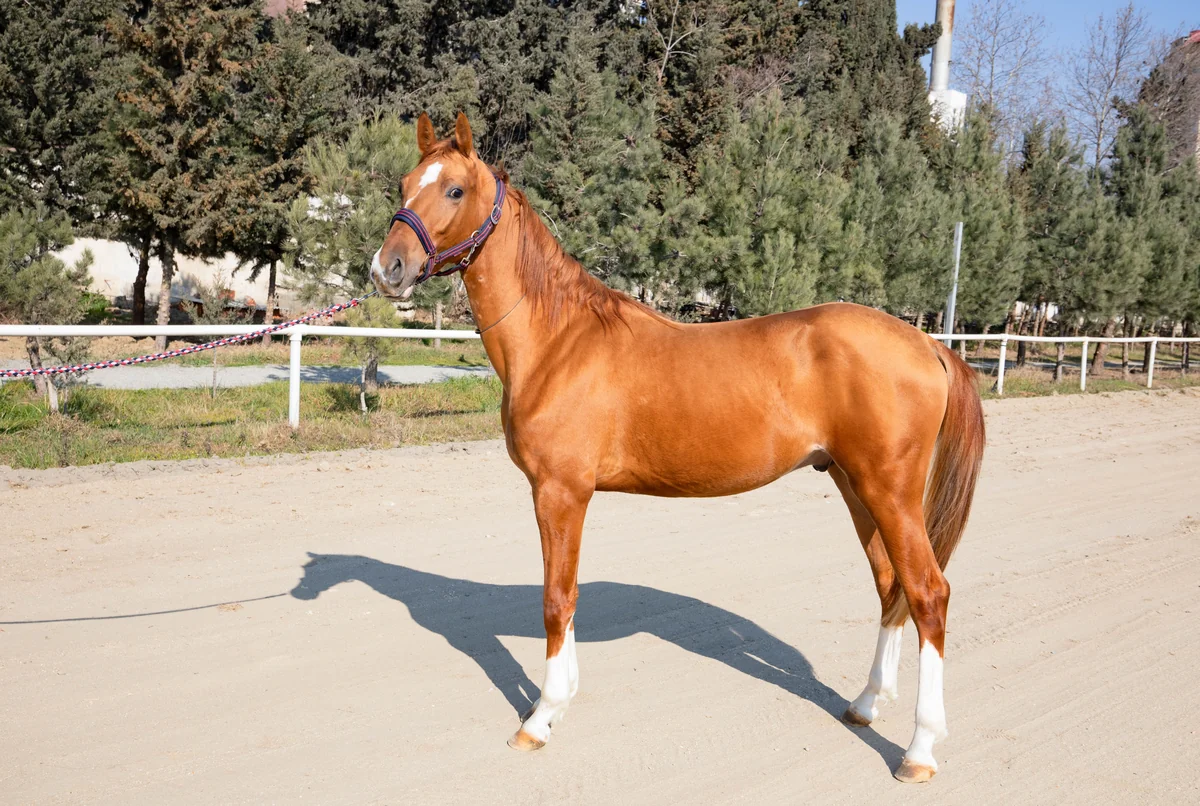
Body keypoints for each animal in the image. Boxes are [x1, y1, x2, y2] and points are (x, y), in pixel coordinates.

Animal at [368, 112, 985, 783]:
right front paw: (560, 700)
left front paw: (540, 718)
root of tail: (929, 344)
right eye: (405, 184)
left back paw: (919, 750)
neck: (558, 340)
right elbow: (570, 596)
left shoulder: (560, 492)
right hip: (855, 486)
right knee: (890, 585)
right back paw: (867, 704)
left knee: (928, 593)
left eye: (454, 190)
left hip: (889, 491)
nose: (387, 268)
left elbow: (557, 599)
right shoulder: (567, 497)